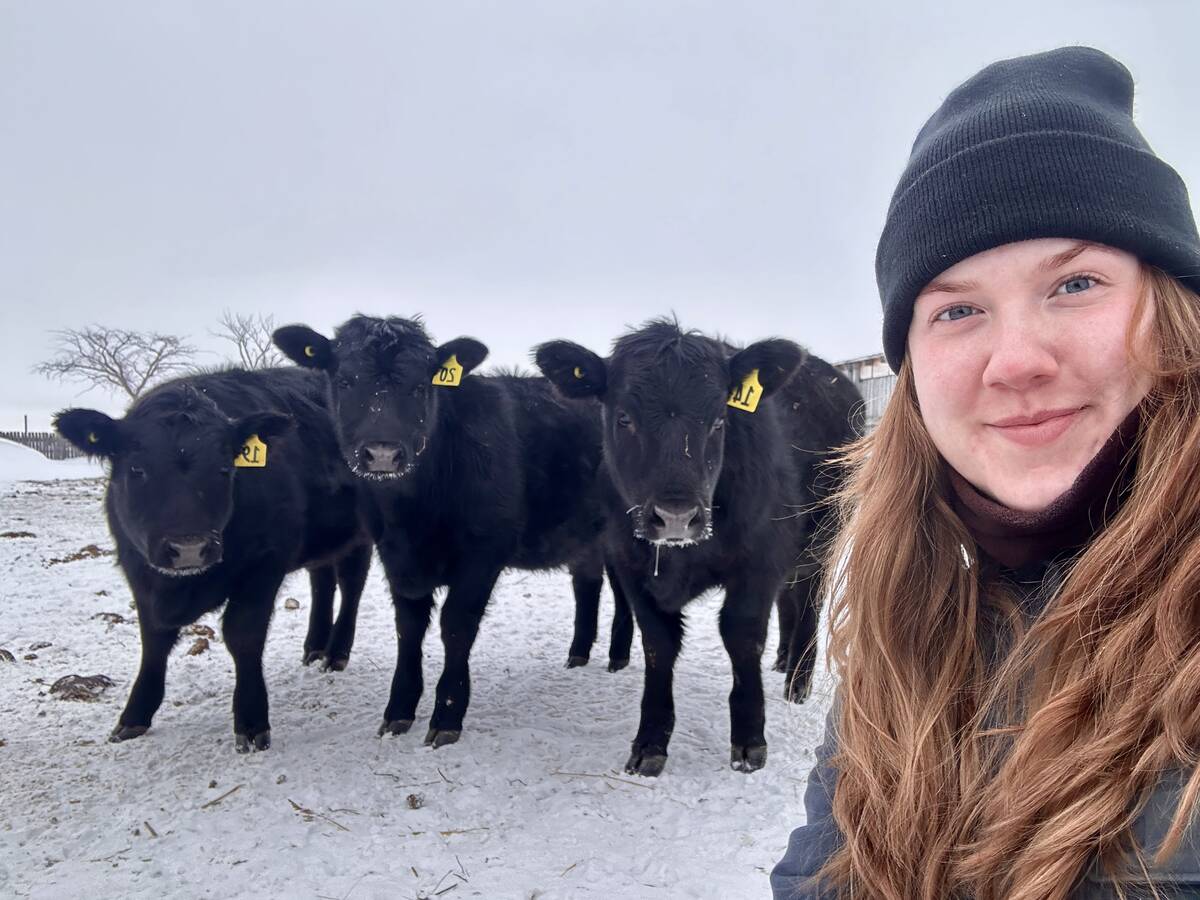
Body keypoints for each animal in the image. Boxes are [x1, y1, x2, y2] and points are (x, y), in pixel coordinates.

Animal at [55, 367, 372, 752]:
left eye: (224, 469)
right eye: (137, 469)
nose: (189, 547)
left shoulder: (264, 564)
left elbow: (242, 635)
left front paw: (251, 722)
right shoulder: (139, 569)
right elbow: (153, 641)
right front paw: (134, 716)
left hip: (360, 533)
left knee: (351, 585)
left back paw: (336, 652)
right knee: (322, 580)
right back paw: (314, 648)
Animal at [273, 315, 630, 748]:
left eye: (420, 386)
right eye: (344, 381)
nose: (382, 454)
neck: (413, 513)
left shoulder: (483, 553)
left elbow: (456, 626)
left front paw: (446, 716)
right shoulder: (395, 556)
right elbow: (408, 628)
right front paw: (398, 710)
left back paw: (618, 656)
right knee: (588, 581)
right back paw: (578, 654)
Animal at [535, 319, 858, 776]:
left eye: (719, 420)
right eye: (623, 418)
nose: (676, 516)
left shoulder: (759, 562)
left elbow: (741, 636)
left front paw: (749, 741)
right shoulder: (631, 564)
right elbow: (658, 643)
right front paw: (650, 741)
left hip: (823, 541)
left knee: (809, 603)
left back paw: (796, 683)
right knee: (790, 601)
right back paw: (781, 662)